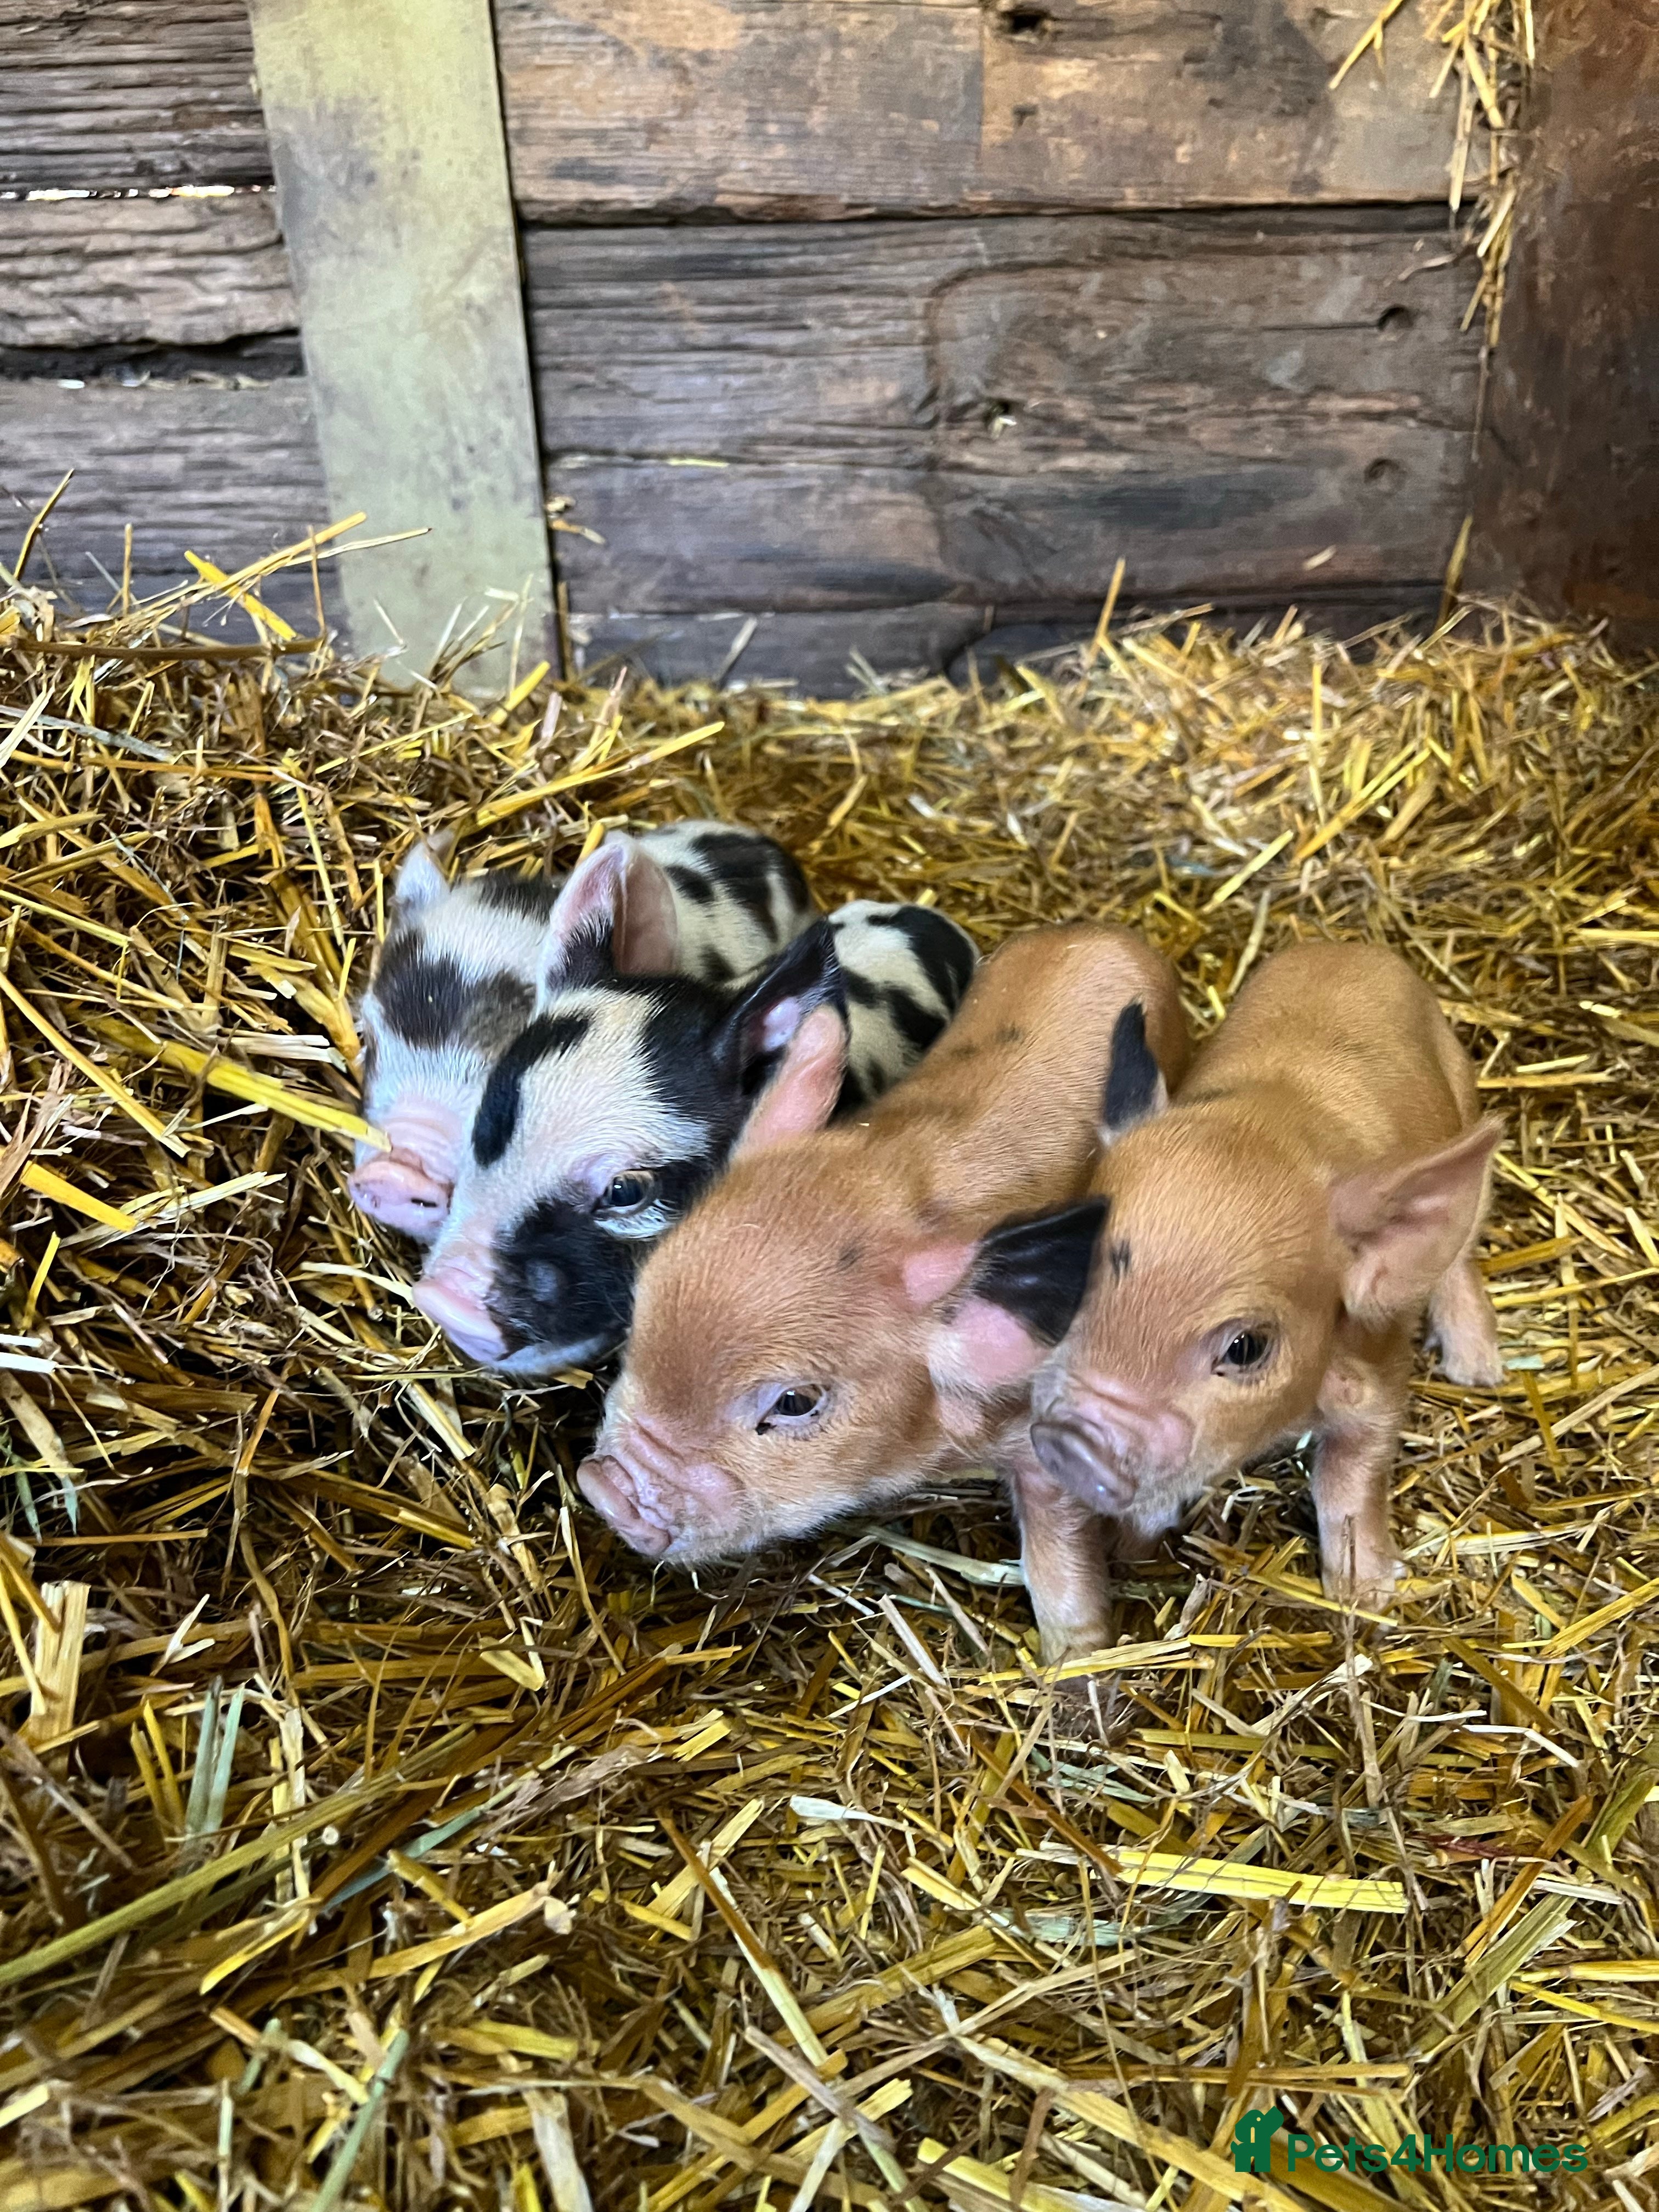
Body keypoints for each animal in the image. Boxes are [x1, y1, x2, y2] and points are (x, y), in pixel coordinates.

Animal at [577, 924, 1191, 1664]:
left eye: (795, 1402)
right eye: (640, 1311)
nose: (606, 1488)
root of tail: (1104, 934)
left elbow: (1058, 1554)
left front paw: (1078, 1663)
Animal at [1019, 940, 1503, 1609]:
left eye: (1247, 1347)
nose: (1072, 1443)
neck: (1270, 1124)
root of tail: (1353, 947)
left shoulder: (1379, 1368)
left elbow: (1353, 1470)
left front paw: (1367, 1597)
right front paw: (1122, 1550)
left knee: (1459, 1253)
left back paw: (1480, 1372)